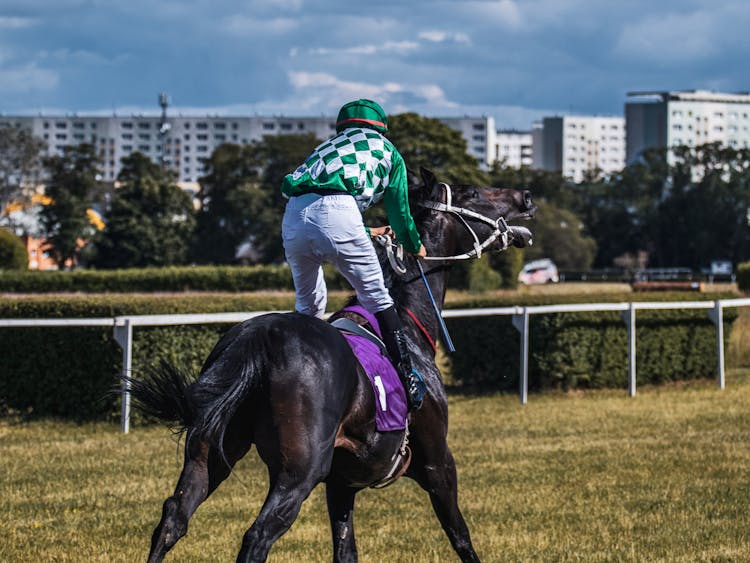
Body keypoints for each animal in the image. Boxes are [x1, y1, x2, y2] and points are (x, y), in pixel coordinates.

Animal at [132, 169, 536, 563]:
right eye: (472, 193)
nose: (525, 197)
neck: (407, 324)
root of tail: (261, 337)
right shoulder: (438, 462)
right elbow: (461, 537)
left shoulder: (342, 482)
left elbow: (345, 549)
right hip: (300, 470)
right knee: (257, 536)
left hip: (211, 450)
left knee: (173, 517)